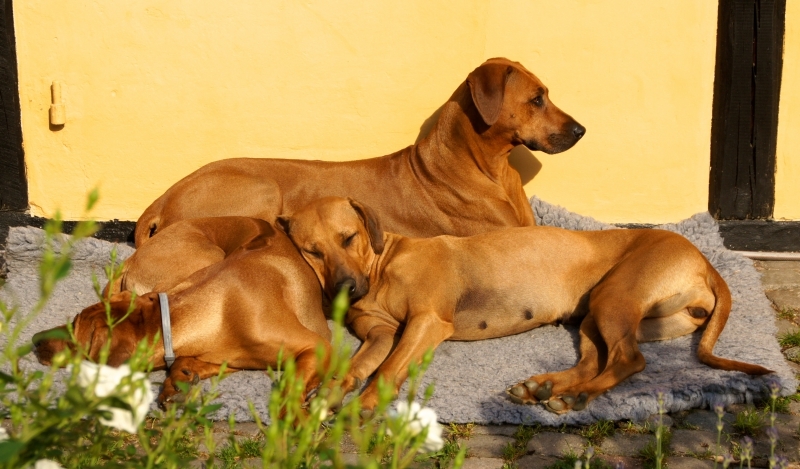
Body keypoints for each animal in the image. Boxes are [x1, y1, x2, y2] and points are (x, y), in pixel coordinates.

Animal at [278, 197, 772, 414]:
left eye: (348, 238)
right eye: (311, 250)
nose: (346, 289)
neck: (382, 265)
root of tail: (705, 260)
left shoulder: (426, 322)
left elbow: (386, 371)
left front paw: (363, 408)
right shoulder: (380, 333)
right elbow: (359, 366)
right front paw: (330, 394)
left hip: (613, 299)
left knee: (629, 360)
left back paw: (574, 396)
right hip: (594, 317)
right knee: (595, 360)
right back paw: (543, 387)